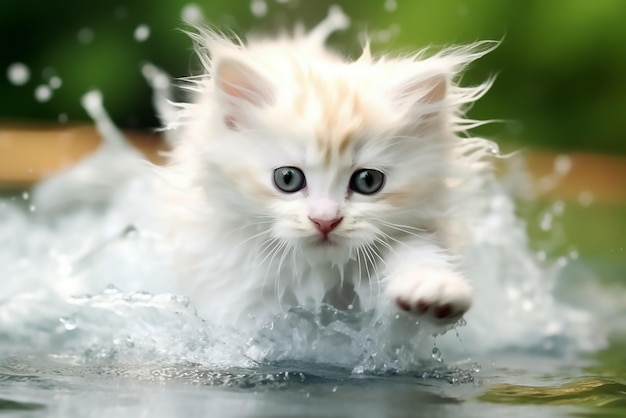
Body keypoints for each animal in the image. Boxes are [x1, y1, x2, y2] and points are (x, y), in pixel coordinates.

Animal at [161, 9, 498, 334]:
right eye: (287, 179)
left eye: (368, 181)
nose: (325, 221)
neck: (320, 272)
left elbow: (416, 262)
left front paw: (433, 290)